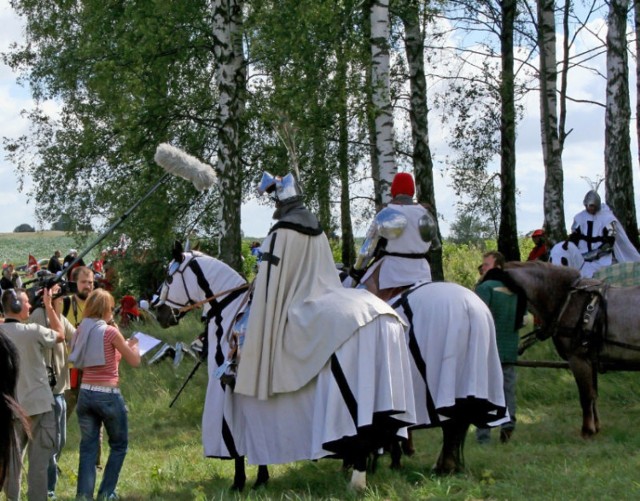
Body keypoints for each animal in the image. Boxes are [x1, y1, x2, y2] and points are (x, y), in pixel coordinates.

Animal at [154, 244, 416, 490]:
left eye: (169, 277)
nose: (160, 314)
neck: (226, 312)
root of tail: (383, 314)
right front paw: (261, 479)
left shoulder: (226, 394)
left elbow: (238, 447)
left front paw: (239, 483)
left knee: (364, 435)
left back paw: (358, 481)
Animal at [504, 260, 640, 436]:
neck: (565, 301)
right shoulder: (590, 360)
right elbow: (593, 394)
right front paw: (596, 427)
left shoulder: (577, 359)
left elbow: (586, 396)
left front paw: (587, 431)